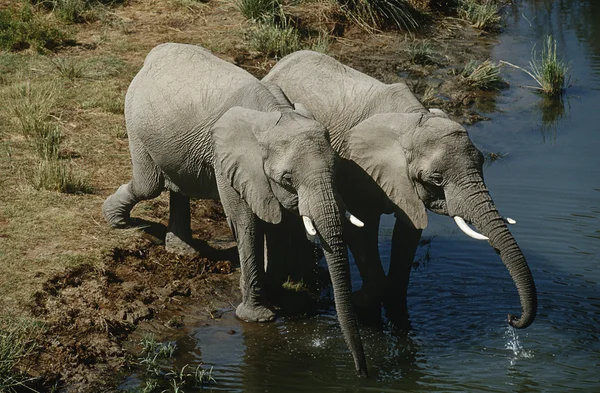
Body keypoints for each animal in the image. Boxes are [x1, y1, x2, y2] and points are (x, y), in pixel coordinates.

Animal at [102, 44, 370, 376]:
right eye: (287, 179)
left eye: (336, 169)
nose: (362, 373)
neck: (273, 115)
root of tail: (155, 54)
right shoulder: (227, 161)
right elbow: (246, 222)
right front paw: (259, 316)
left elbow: (278, 221)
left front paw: (279, 293)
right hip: (136, 123)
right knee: (148, 184)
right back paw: (116, 220)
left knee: (177, 185)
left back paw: (181, 250)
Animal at [264, 50, 536, 330]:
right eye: (437, 178)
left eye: (482, 164)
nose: (511, 317)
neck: (413, 121)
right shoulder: (356, 169)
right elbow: (360, 228)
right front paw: (363, 302)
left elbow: (408, 234)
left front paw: (395, 307)